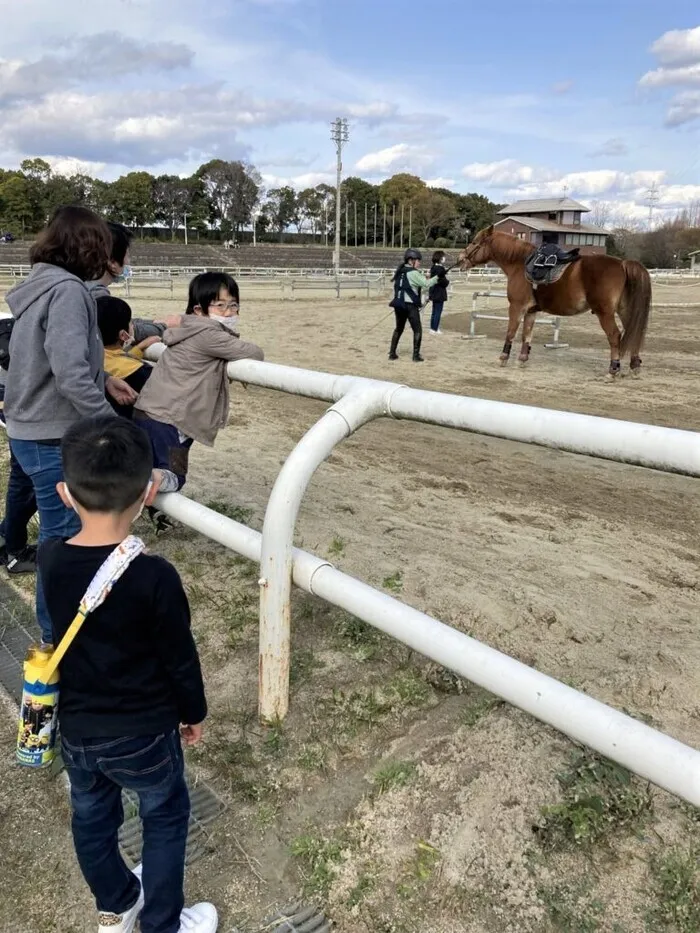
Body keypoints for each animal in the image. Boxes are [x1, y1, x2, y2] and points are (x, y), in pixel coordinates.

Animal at [460, 226, 652, 374]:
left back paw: (614, 369)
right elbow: (526, 335)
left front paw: (503, 358)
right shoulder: (531, 311)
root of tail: (623, 263)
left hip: (604, 313)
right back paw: (635, 365)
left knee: (615, 336)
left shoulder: (516, 307)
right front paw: (522, 359)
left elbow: (511, 332)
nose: (461, 259)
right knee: (633, 332)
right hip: (624, 310)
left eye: (475, 242)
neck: (520, 263)